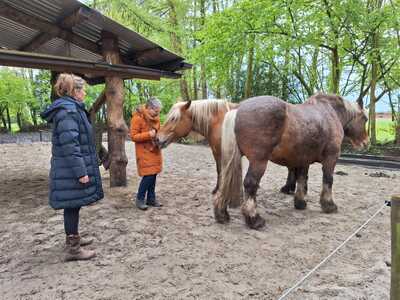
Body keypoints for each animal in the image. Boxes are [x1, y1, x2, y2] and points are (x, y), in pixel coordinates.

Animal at [214, 94, 368, 230]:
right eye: (365, 118)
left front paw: (300, 203)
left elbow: (302, 179)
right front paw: (329, 205)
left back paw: (221, 214)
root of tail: (238, 109)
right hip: (259, 162)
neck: (330, 112)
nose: (366, 143)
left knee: (224, 180)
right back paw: (254, 219)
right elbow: (328, 180)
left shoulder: (304, 160)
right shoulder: (330, 158)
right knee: (251, 184)